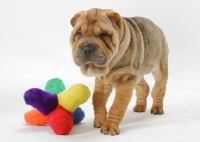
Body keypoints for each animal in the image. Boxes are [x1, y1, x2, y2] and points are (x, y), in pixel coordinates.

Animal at [69, 7, 168, 135]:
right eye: (79, 33)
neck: (110, 64)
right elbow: (97, 100)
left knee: (159, 89)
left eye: (104, 34)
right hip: (137, 72)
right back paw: (140, 106)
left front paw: (109, 126)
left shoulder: (125, 80)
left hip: (160, 68)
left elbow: (117, 106)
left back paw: (157, 108)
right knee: (144, 87)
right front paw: (100, 121)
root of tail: (157, 27)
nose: (87, 48)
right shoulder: (103, 82)